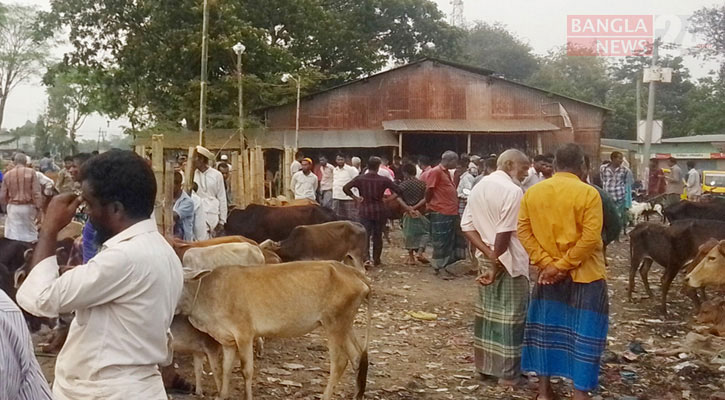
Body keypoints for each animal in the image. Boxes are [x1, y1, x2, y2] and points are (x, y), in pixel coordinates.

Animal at [179, 262, 370, 400]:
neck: (206, 291)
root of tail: (352, 272)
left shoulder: (244, 335)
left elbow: (246, 370)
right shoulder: (227, 340)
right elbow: (225, 369)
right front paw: (223, 395)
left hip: (334, 325)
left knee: (339, 362)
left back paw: (326, 396)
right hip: (345, 326)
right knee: (356, 356)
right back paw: (356, 394)